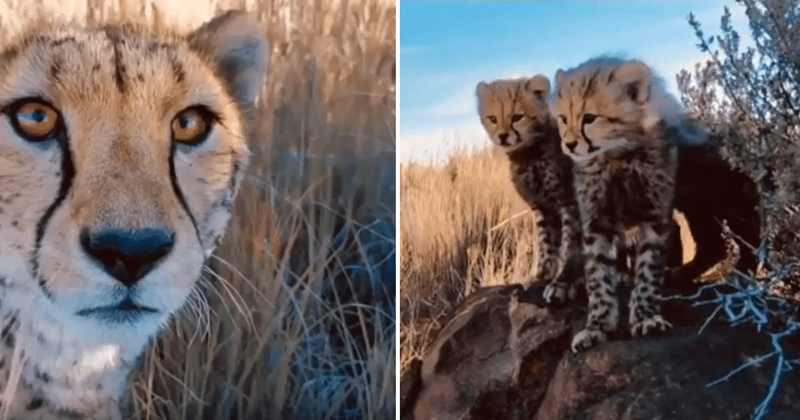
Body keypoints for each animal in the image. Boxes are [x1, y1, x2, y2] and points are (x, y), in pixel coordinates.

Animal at [476, 75, 583, 303]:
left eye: (517, 117)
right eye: (493, 119)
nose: (503, 136)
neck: (529, 154)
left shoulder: (570, 202)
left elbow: (571, 246)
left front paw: (564, 282)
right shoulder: (542, 208)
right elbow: (546, 244)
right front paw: (541, 277)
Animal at [553, 56, 705, 353]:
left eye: (590, 118)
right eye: (563, 119)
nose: (569, 144)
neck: (617, 156)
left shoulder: (655, 218)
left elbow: (648, 271)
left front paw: (646, 317)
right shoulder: (595, 221)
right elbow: (598, 277)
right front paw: (597, 327)